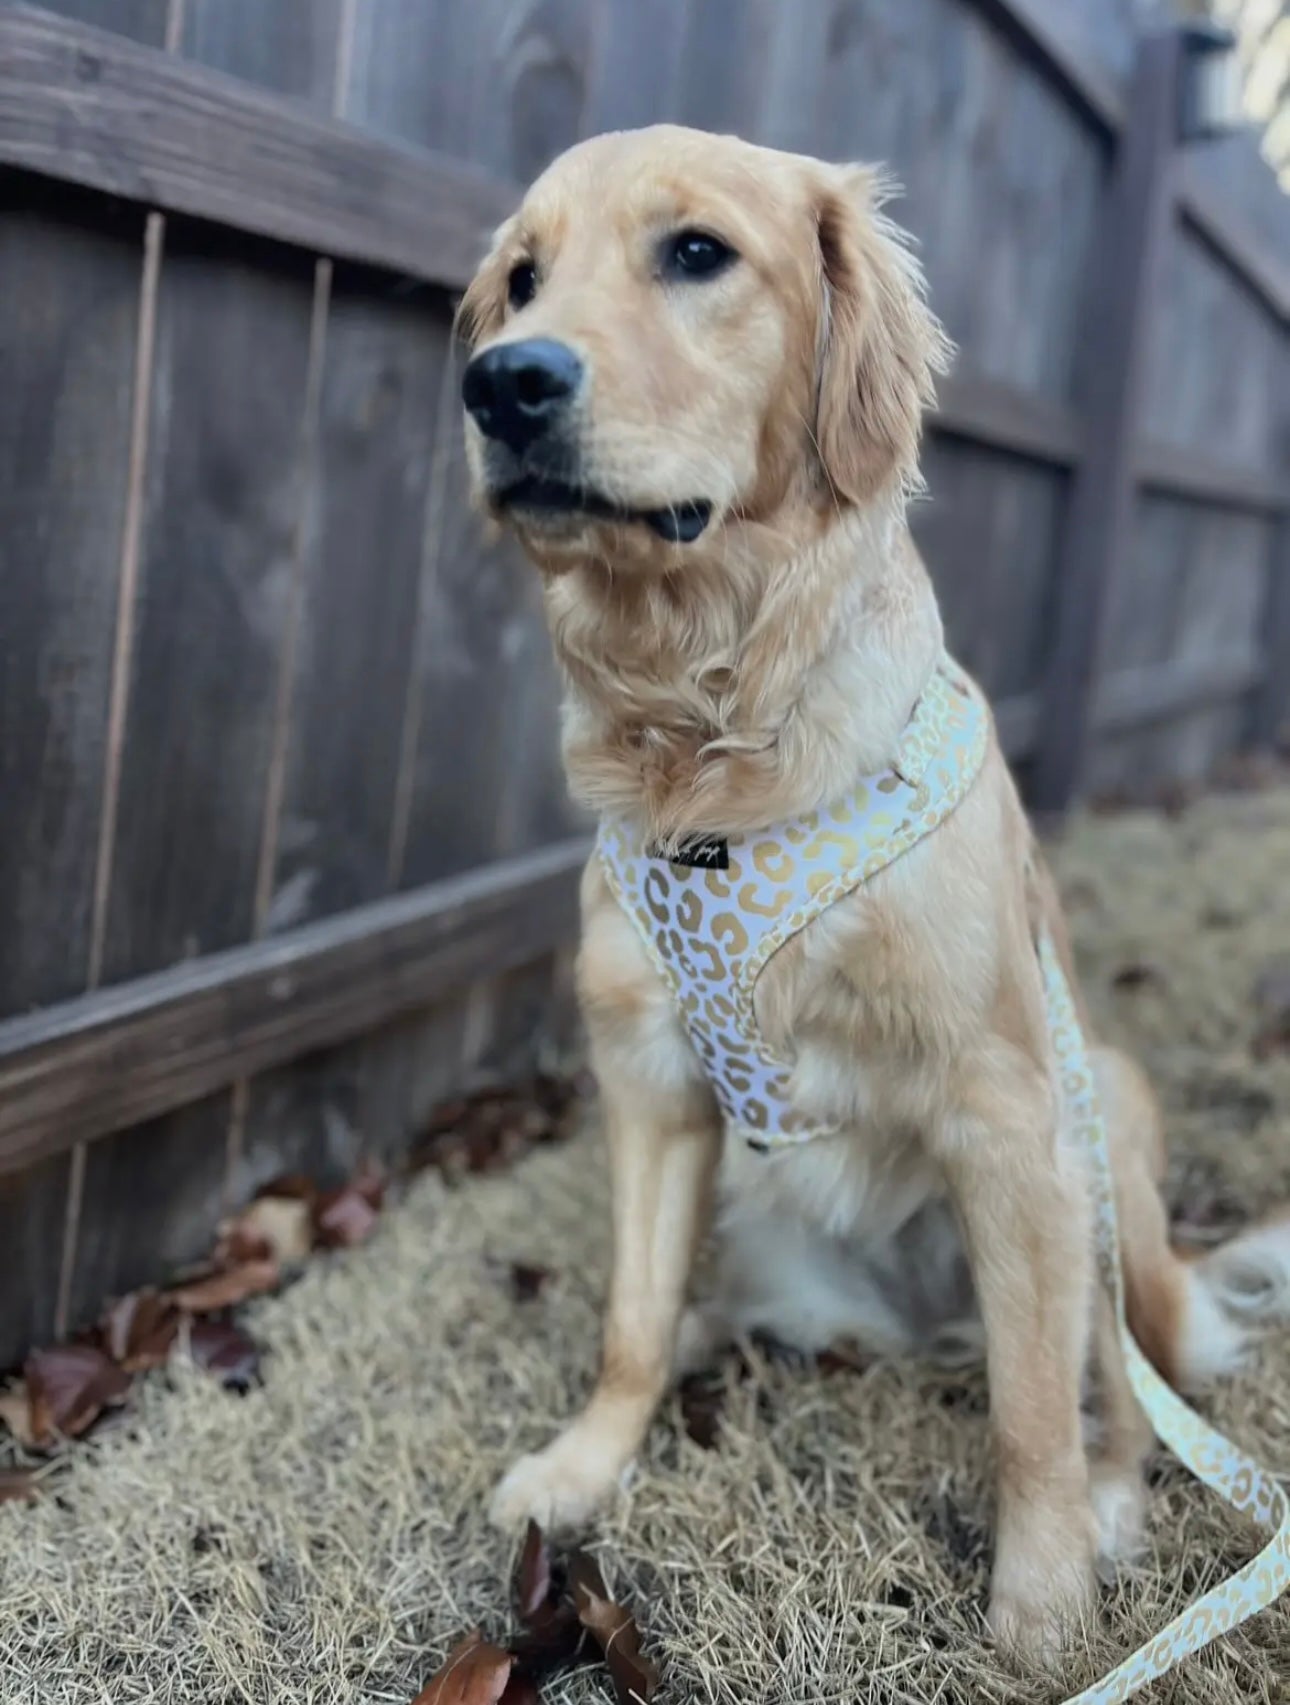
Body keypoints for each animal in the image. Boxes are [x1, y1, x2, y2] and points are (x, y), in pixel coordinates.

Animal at [453, 123, 1288, 1664]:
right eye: (522, 278)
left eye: (698, 253)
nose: (503, 382)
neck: (718, 742)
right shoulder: (648, 1082)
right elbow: (629, 1321)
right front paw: (586, 1465)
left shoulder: (1009, 1112)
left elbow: (1032, 1409)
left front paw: (1041, 1597)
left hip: (1106, 1121)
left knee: (1114, 1385)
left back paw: (1112, 1503)